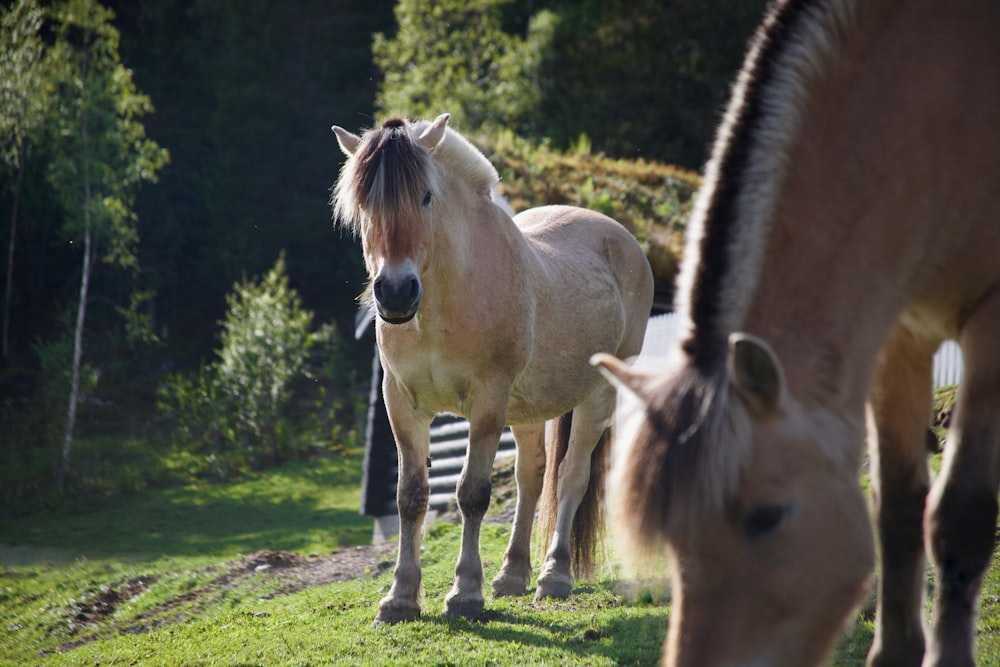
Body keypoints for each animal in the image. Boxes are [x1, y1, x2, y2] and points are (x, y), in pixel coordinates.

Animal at [332, 113, 652, 628]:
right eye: (363, 204)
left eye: (427, 196)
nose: (396, 293)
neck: (443, 303)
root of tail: (623, 240)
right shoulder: (402, 406)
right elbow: (410, 496)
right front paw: (399, 599)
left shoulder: (486, 404)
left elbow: (472, 494)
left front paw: (465, 594)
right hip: (527, 410)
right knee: (532, 476)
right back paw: (512, 575)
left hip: (597, 396)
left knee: (571, 475)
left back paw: (553, 576)